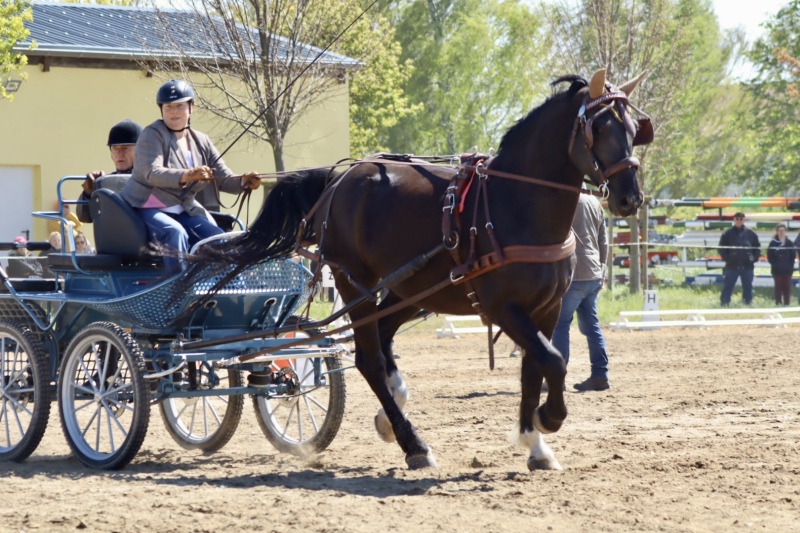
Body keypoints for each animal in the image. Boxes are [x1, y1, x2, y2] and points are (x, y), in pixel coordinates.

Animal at [193, 69, 649, 471]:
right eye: (600, 127)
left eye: (634, 128)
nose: (630, 198)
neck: (515, 203)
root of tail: (340, 178)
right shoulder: (504, 308)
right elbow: (553, 362)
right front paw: (547, 419)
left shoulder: (547, 309)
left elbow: (534, 370)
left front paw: (535, 445)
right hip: (355, 283)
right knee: (370, 358)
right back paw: (413, 444)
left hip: (410, 289)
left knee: (383, 339)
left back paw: (394, 412)